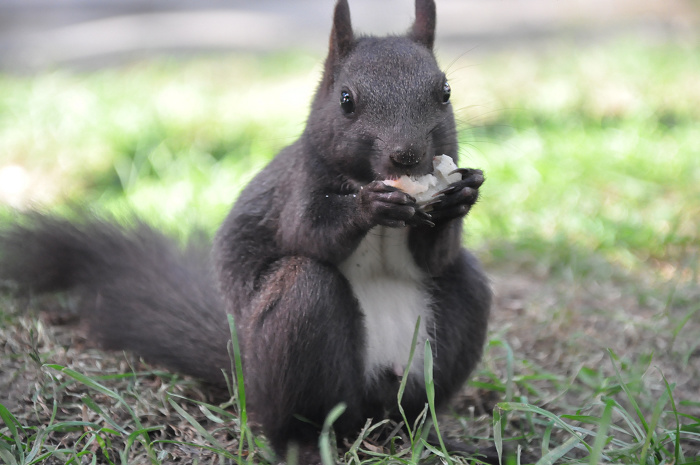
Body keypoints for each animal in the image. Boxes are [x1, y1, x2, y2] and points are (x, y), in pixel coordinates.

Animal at [0, 1, 492, 462]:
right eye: (346, 100)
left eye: (445, 91)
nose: (406, 156)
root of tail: (244, 372)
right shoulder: (296, 189)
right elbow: (309, 233)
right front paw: (368, 206)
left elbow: (435, 256)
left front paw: (460, 195)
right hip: (297, 330)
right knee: (301, 402)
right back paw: (308, 447)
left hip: (453, 317)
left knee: (418, 399)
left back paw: (439, 440)